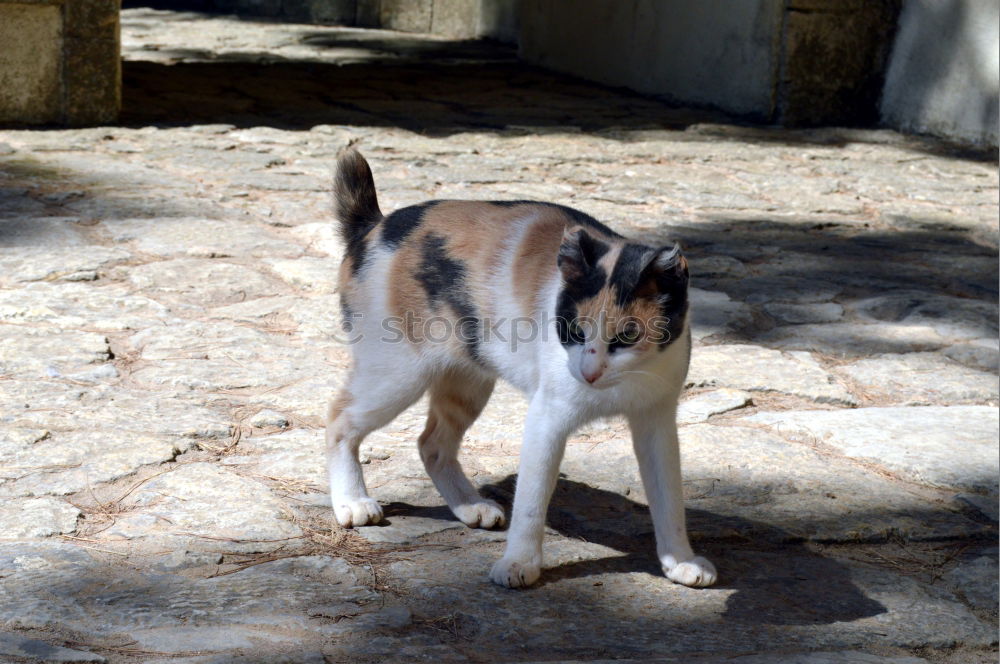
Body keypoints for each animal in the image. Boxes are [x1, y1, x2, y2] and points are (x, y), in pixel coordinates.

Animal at [324, 149, 716, 588]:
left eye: (629, 335)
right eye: (574, 330)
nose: (590, 372)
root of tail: (375, 225)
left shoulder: (657, 422)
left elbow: (670, 498)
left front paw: (679, 560)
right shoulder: (547, 418)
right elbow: (532, 500)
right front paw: (519, 563)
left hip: (467, 383)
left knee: (432, 444)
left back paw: (469, 506)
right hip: (396, 376)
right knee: (340, 421)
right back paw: (353, 501)